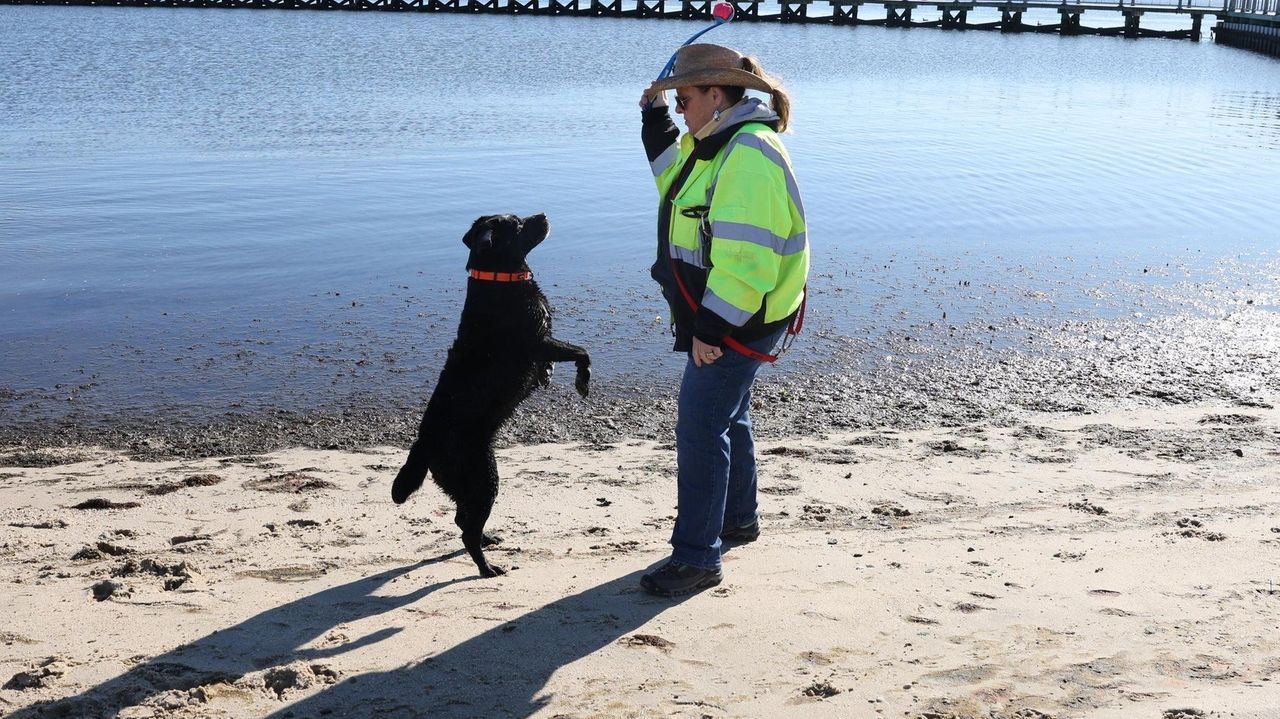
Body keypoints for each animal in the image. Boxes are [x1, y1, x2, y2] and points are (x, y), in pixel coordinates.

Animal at [389, 209, 588, 573]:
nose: (543, 214)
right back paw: (486, 568)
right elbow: (581, 351)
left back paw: (488, 540)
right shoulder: (539, 340)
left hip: (466, 484)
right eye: (519, 224)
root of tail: (424, 443)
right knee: (466, 529)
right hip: (483, 477)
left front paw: (547, 375)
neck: (499, 278)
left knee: (461, 521)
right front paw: (583, 379)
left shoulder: (544, 343)